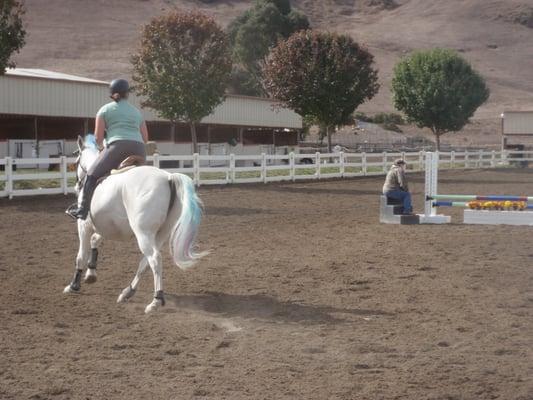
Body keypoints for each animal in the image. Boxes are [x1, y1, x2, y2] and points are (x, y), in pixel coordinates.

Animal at [65, 134, 207, 312]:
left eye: (76, 161)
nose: (77, 185)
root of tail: (168, 178)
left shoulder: (83, 226)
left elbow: (81, 256)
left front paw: (74, 285)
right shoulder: (105, 227)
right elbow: (95, 240)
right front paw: (91, 274)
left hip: (143, 233)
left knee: (154, 259)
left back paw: (156, 300)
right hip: (160, 234)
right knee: (145, 262)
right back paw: (128, 291)